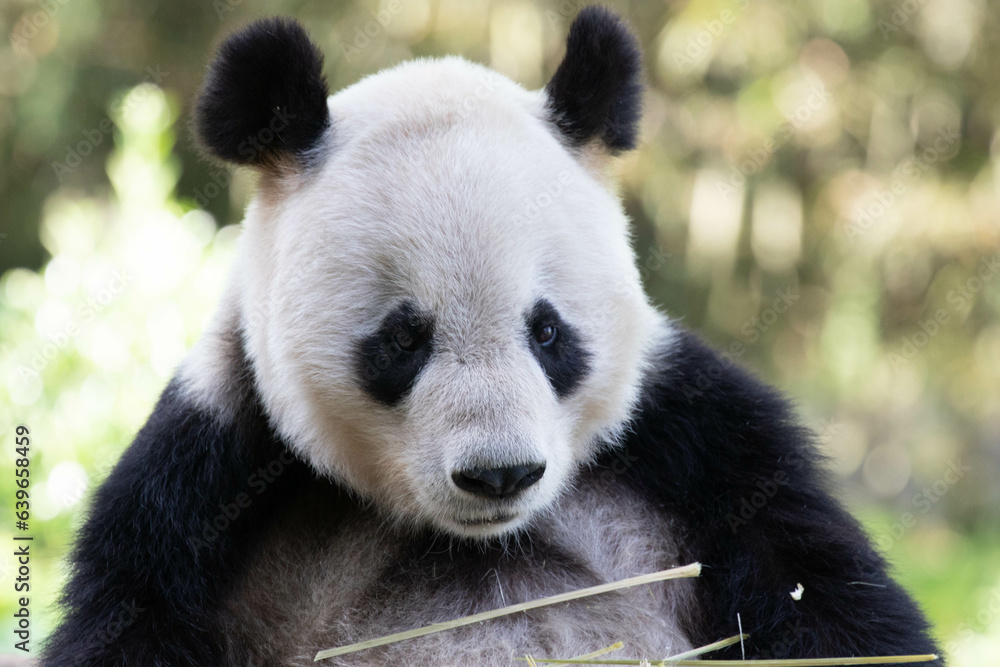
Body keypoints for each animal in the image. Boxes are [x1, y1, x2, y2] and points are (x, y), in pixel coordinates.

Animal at [43, 7, 942, 667]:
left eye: (547, 331)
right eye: (402, 340)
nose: (499, 473)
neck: (470, 537)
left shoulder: (700, 447)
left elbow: (825, 602)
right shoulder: (206, 479)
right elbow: (135, 616)